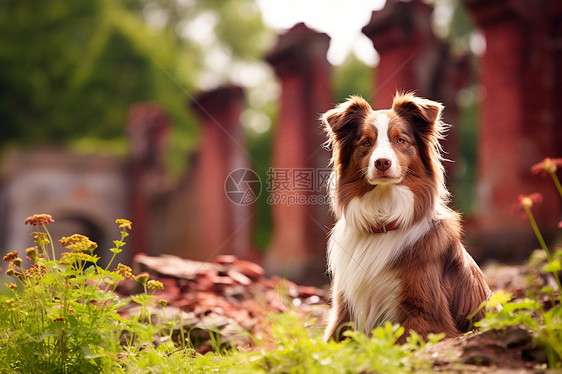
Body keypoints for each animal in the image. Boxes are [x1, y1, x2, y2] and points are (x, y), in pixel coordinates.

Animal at [322, 91, 488, 342]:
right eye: (366, 142)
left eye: (401, 140)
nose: (382, 162)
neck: (383, 219)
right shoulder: (345, 312)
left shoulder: (428, 316)